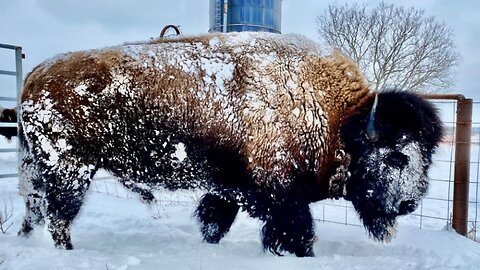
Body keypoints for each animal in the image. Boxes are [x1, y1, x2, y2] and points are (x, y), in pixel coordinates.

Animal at [17, 32, 442, 256]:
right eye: (397, 156)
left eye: (427, 158)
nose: (409, 203)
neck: (337, 119)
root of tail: (35, 76)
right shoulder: (283, 196)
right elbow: (297, 231)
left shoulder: (228, 190)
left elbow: (214, 220)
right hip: (70, 171)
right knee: (59, 216)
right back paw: (68, 253)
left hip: (42, 169)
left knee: (37, 211)